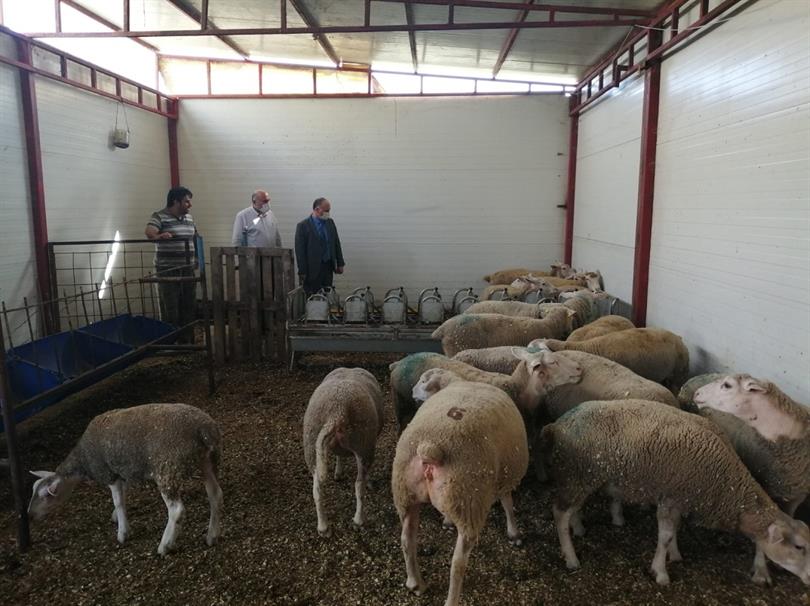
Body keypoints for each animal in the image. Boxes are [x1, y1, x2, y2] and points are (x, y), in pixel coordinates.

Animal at [28, 403, 222, 556]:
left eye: (46, 496)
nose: (30, 515)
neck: (83, 460)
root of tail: (204, 429)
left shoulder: (109, 473)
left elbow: (118, 501)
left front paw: (122, 532)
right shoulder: (122, 471)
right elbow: (123, 494)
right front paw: (116, 517)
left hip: (168, 469)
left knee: (177, 510)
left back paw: (165, 545)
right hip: (207, 461)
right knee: (215, 494)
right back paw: (212, 535)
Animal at [392, 379, 529, 606]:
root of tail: (431, 448)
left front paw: (447, 521)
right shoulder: (505, 476)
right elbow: (508, 503)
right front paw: (514, 533)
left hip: (406, 494)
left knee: (406, 540)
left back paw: (415, 583)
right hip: (470, 502)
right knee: (457, 565)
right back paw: (451, 599)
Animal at [540, 399, 810, 586]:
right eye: (799, 547)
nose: (808, 578)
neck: (727, 484)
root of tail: (558, 424)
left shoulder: (680, 498)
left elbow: (674, 531)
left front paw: (675, 554)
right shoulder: (670, 498)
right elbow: (666, 536)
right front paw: (660, 572)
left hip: (582, 477)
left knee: (573, 508)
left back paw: (578, 527)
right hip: (578, 474)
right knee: (560, 512)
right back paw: (571, 557)